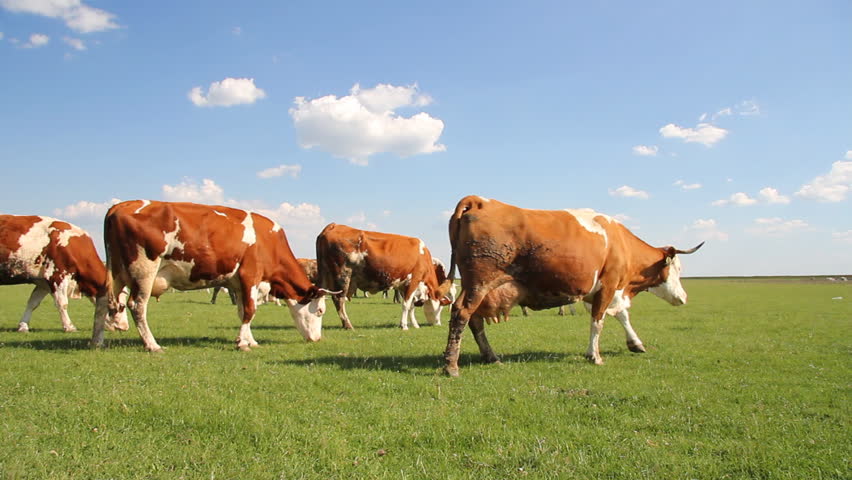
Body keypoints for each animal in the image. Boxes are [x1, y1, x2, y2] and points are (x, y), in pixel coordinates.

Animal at [91, 200, 335, 352]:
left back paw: (97, 341)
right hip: (144, 270)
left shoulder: (237, 283)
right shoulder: (250, 275)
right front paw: (242, 343)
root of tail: (119, 206)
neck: (269, 242)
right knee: (137, 305)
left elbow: (242, 311)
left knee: (103, 301)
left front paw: (249, 340)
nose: (317, 339)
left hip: (117, 271)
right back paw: (152, 345)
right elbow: (250, 310)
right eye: (320, 311)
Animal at [316, 223, 453, 330]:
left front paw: (414, 324)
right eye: (440, 308)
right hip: (343, 275)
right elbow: (406, 305)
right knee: (339, 300)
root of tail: (333, 225)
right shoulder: (414, 280)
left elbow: (410, 307)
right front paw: (404, 326)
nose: (438, 324)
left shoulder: (403, 285)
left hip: (324, 274)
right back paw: (348, 325)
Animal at [441, 196, 703, 376]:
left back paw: (491, 357)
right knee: (461, 314)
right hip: (479, 283)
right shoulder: (609, 285)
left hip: (476, 286)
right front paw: (594, 356)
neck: (620, 241)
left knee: (474, 321)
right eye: (678, 269)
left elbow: (621, 316)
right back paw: (451, 366)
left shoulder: (599, 292)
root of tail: (478, 200)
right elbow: (598, 322)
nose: (684, 297)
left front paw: (635, 344)